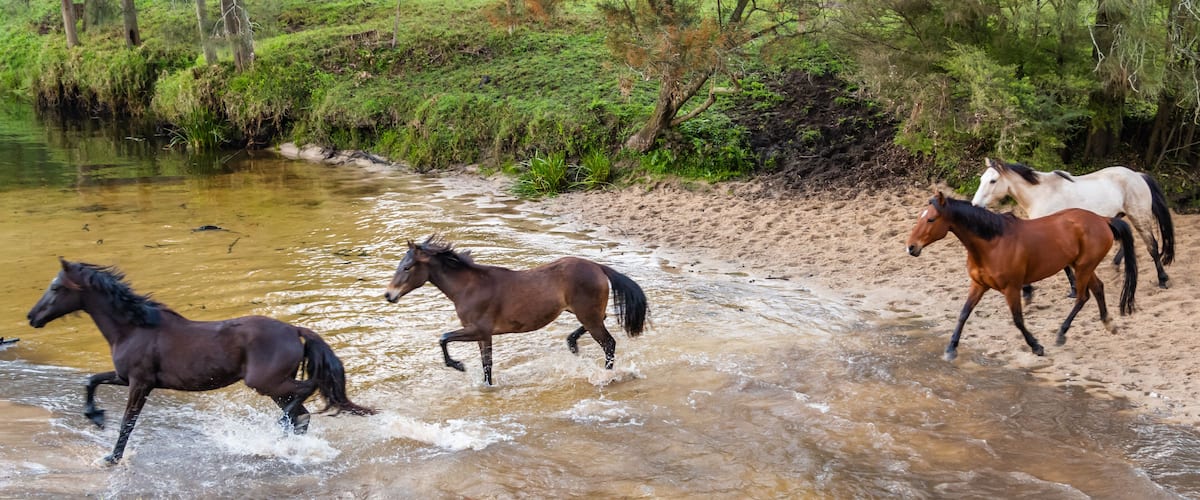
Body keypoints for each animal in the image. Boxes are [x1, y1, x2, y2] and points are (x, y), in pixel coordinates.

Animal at [26, 258, 375, 465]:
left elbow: (127, 422)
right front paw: (95, 417)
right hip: (274, 387)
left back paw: (277, 431)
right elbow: (91, 380)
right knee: (302, 415)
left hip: (266, 383)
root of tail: (294, 330)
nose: (32, 317)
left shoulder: (140, 384)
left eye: (55, 288)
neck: (134, 327)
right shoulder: (125, 377)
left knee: (308, 391)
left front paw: (112, 456)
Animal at [384, 236, 649, 386]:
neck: (468, 287)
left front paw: (458, 365)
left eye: (407, 267)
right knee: (602, 321)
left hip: (588, 315)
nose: (389, 295)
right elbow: (487, 365)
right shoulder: (483, 336)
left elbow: (444, 338)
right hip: (583, 312)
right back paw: (572, 343)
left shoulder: (479, 330)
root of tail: (598, 266)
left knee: (609, 344)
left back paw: (606, 375)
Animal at [906, 192, 1138, 361]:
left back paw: (1061, 334)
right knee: (1098, 288)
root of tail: (1103, 220)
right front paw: (951, 348)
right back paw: (1108, 323)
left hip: (1083, 267)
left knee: (1083, 297)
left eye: (931, 219)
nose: (911, 247)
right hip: (1082, 266)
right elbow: (963, 314)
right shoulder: (978, 284)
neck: (992, 243)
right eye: (920, 217)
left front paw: (1036, 346)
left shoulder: (1011, 288)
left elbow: (1018, 319)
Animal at [971, 158, 1174, 295]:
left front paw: (1074, 290)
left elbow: (1064, 264)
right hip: (1121, 216)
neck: (1041, 194)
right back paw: (1116, 266)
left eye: (993, 181)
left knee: (1152, 245)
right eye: (981, 180)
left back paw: (1163, 280)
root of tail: (1138, 176)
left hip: (1139, 216)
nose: (975, 204)